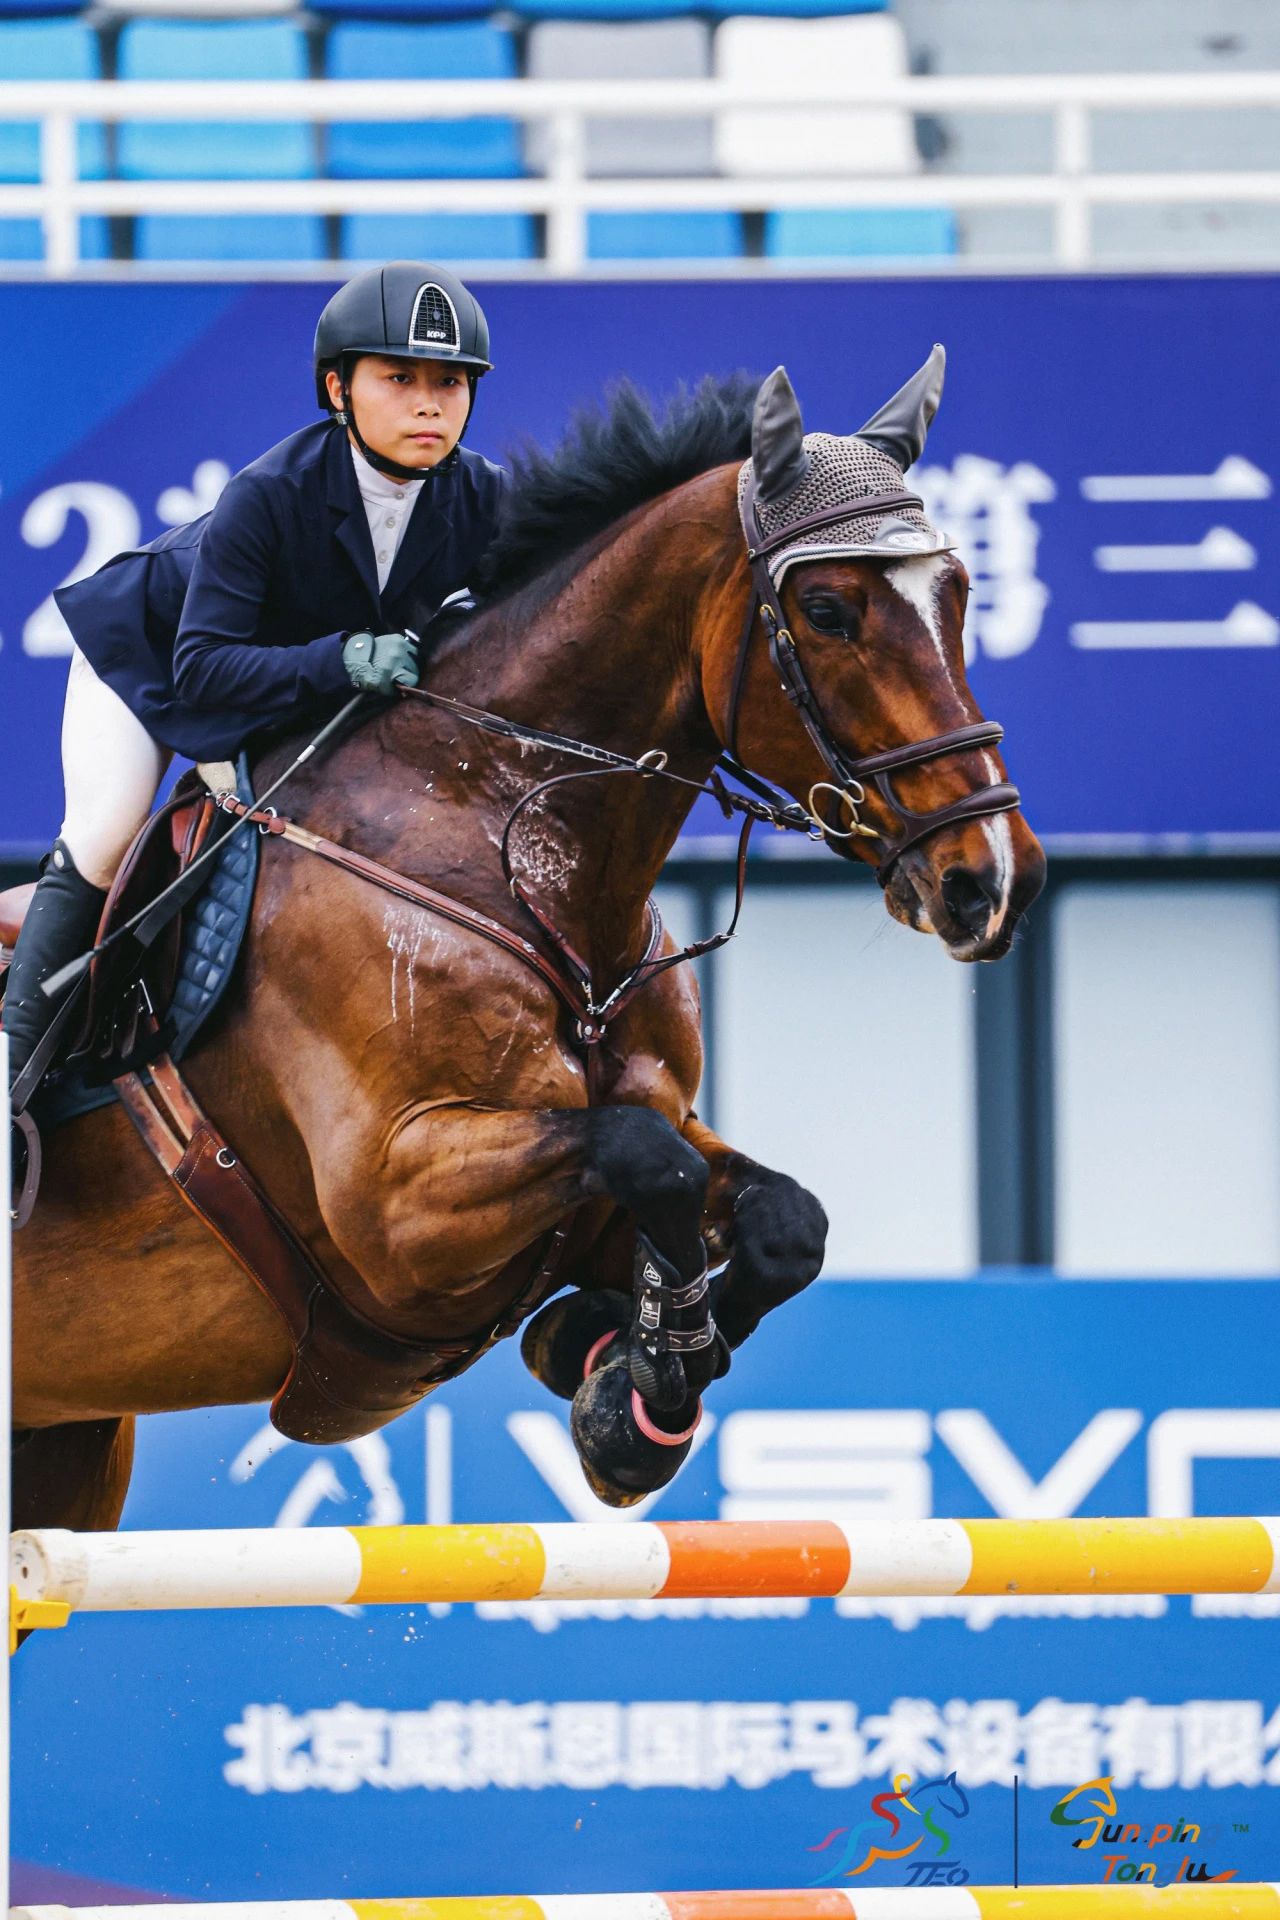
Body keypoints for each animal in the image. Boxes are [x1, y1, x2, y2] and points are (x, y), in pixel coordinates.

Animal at [11, 352, 1045, 1533]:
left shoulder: (606, 1161)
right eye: (825, 610)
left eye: (960, 594)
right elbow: (646, 1161)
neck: (510, 848)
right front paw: (632, 1383)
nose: (992, 880)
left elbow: (781, 1218)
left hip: (64, 1444)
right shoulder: (397, 1210)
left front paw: (619, 1371)